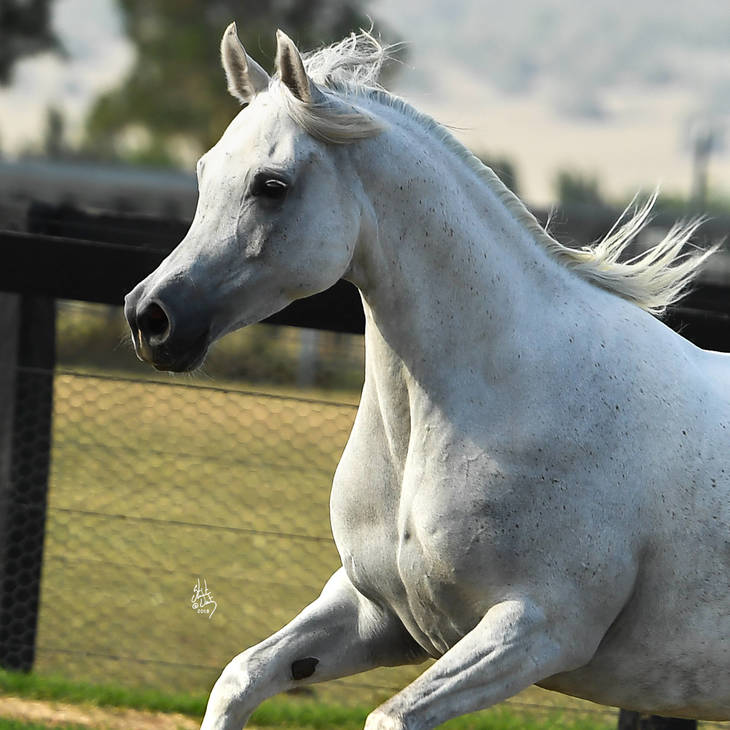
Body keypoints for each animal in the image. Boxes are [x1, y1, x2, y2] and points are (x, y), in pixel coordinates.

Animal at [124, 25, 730, 730]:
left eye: (271, 185)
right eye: (203, 173)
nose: (150, 318)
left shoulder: (537, 629)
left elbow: (390, 717)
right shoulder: (375, 614)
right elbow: (240, 676)